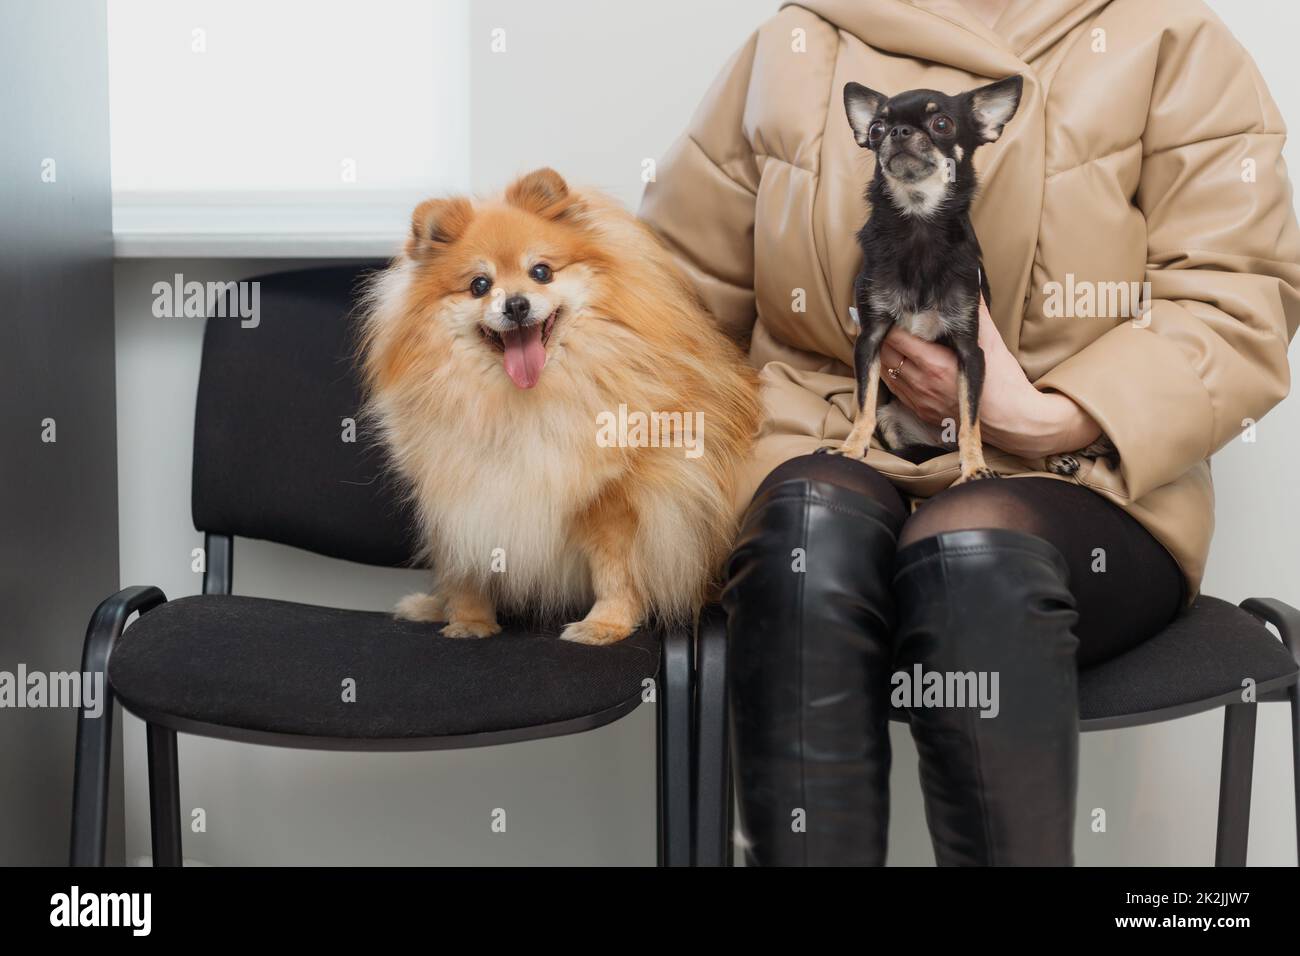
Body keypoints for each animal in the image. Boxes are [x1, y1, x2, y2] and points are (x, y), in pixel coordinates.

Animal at [358, 167, 759, 647]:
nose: (516, 303)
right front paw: (470, 621)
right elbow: (466, 566)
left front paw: (605, 625)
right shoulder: (461, 489)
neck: (522, 404)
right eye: (479, 285)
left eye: (541, 272)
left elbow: (615, 571)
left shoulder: (613, 500)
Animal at [832, 74, 1024, 481]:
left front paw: (975, 466)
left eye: (942, 124)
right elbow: (865, 402)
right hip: (893, 417)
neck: (919, 222)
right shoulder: (870, 338)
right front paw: (851, 448)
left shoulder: (971, 350)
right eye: (876, 129)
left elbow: (971, 417)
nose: (899, 131)